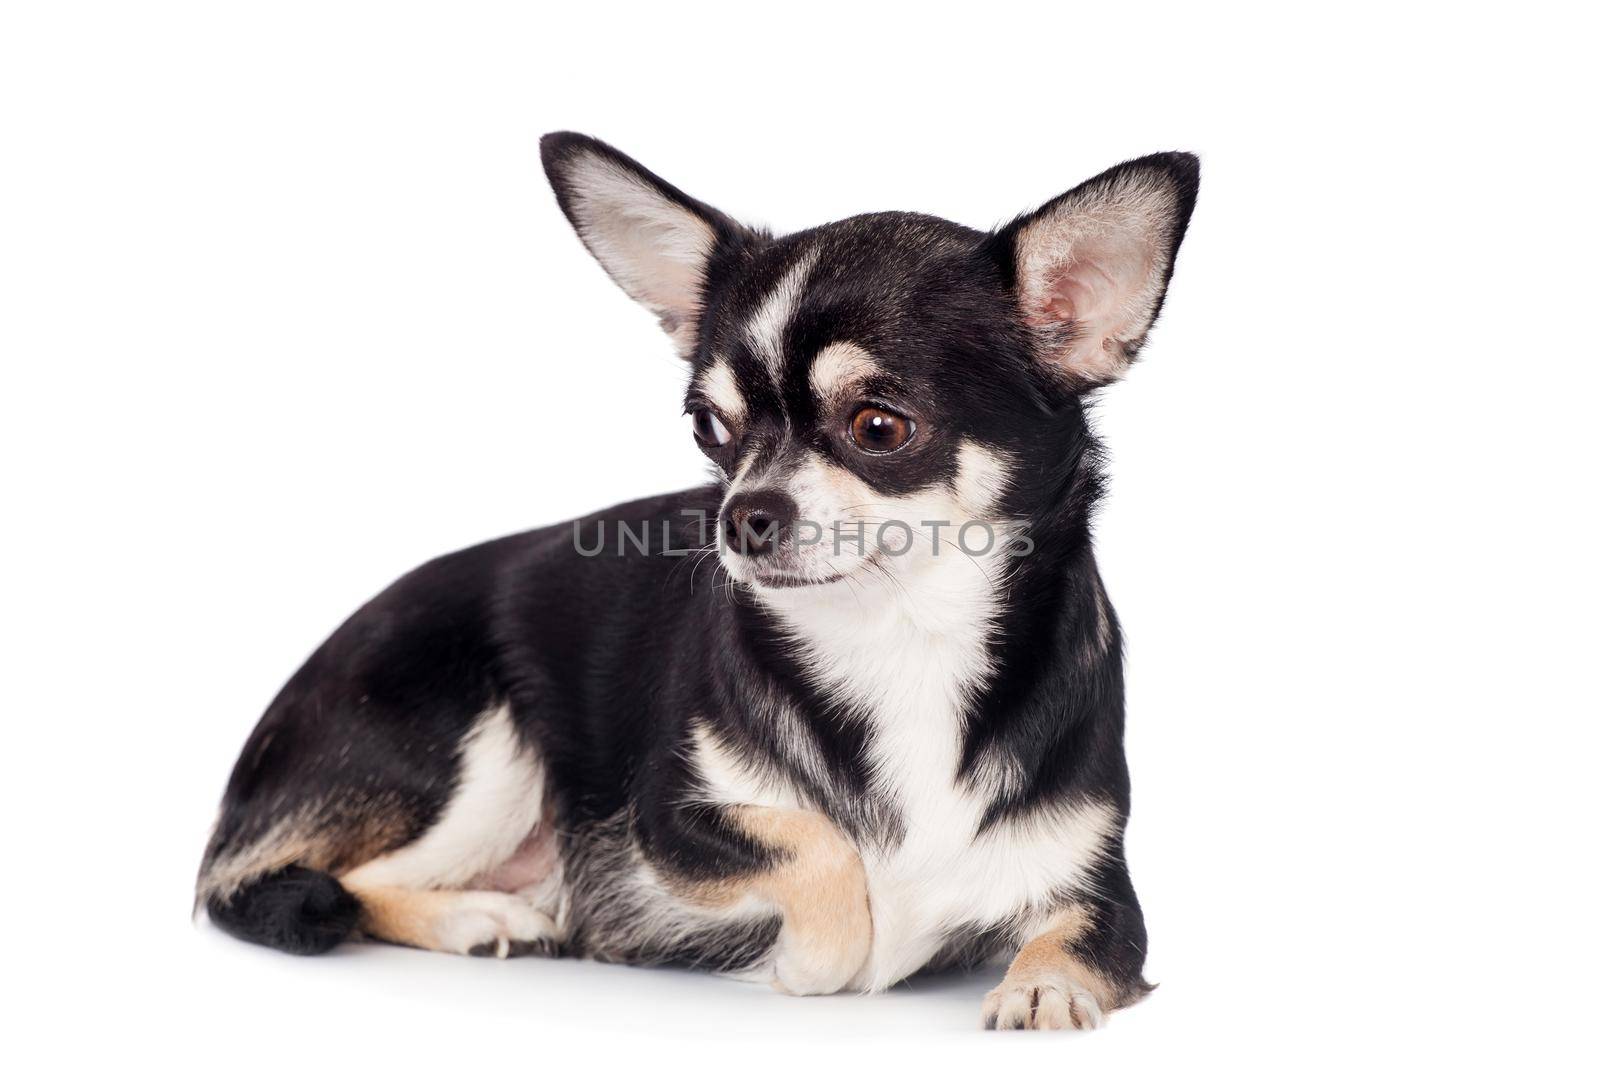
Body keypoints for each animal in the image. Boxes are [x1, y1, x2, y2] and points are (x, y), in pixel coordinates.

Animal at [196, 129, 1203, 1030]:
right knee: (308, 881)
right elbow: (822, 857)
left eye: (879, 426)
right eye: (708, 427)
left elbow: (1079, 938)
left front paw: (1045, 985)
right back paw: (482, 914)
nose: (743, 512)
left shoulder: (1101, 888)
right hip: (485, 742)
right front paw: (823, 955)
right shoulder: (668, 822)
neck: (899, 640)